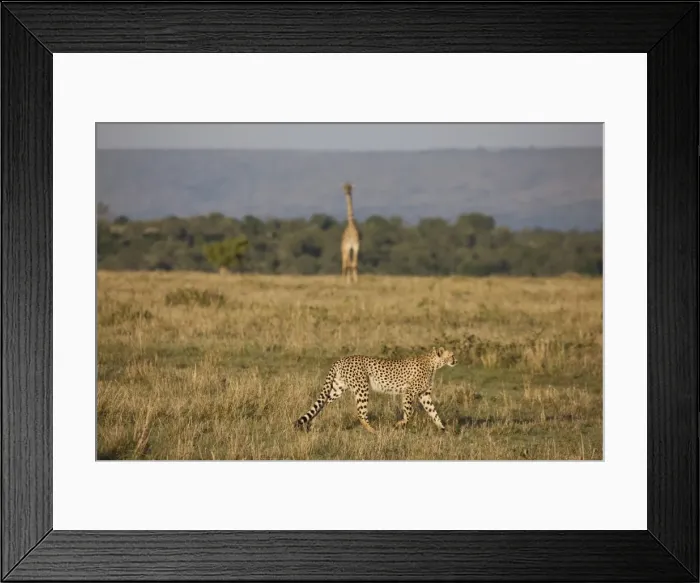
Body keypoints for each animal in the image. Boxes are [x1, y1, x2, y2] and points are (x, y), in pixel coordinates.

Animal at [293, 346, 457, 434]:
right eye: (451, 355)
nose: (456, 360)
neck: (433, 363)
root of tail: (342, 359)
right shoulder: (409, 393)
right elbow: (409, 413)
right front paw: (399, 424)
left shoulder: (424, 394)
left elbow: (433, 412)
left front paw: (443, 428)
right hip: (362, 388)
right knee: (360, 412)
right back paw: (373, 430)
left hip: (337, 388)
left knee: (321, 403)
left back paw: (311, 423)